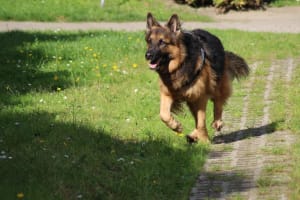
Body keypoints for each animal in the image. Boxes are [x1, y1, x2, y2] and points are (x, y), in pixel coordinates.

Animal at [144, 12, 250, 143]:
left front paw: (204, 140)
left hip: (216, 86)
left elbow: (201, 122)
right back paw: (193, 135)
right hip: (191, 100)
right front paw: (176, 126)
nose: (148, 55)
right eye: (149, 41)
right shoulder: (167, 94)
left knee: (218, 102)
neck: (181, 64)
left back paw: (217, 122)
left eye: (162, 42)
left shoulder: (200, 97)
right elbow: (163, 115)